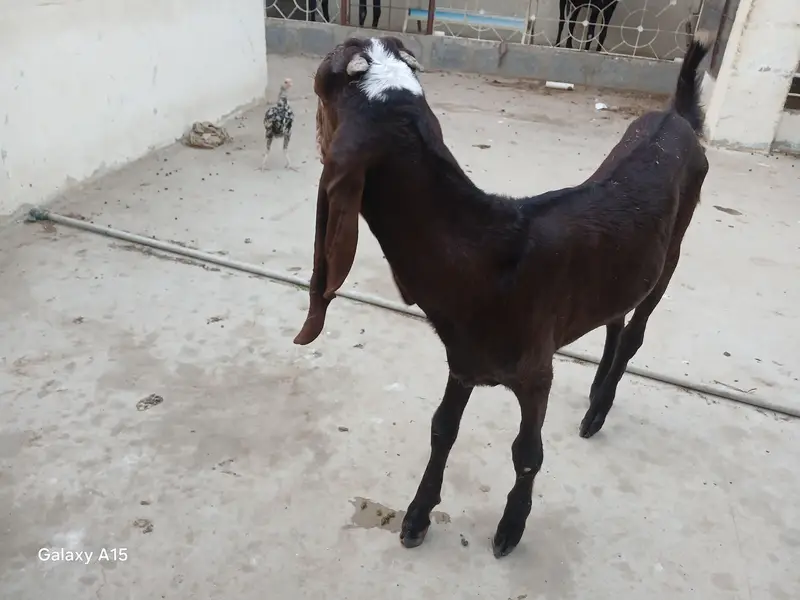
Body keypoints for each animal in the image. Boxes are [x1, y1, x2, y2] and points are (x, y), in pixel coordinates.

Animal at [294, 33, 711, 558]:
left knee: (636, 328)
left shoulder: (536, 372)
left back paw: (599, 409)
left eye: (322, 91)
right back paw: (596, 391)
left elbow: (527, 453)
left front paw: (511, 528)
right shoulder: (464, 361)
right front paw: (416, 516)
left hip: (673, 249)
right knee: (615, 314)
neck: (488, 261)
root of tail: (676, 116)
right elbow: (442, 429)